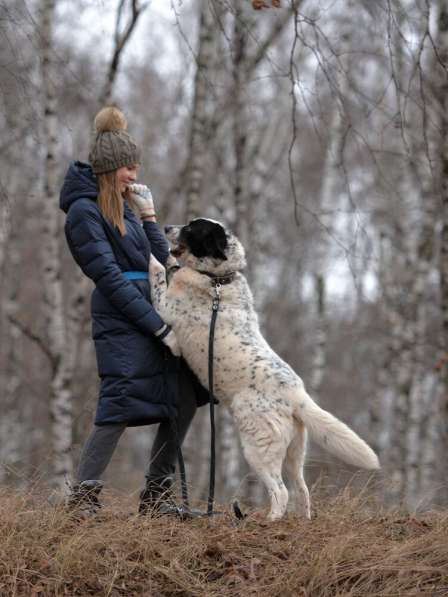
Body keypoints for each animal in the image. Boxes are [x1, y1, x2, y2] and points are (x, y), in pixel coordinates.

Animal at [149, 218, 380, 516]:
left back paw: (267, 521)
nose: (166, 227)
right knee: (302, 490)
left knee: (281, 492)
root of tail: (298, 395)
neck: (217, 280)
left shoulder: (165, 306)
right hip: (294, 453)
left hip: (258, 449)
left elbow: (155, 271)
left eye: (191, 228)